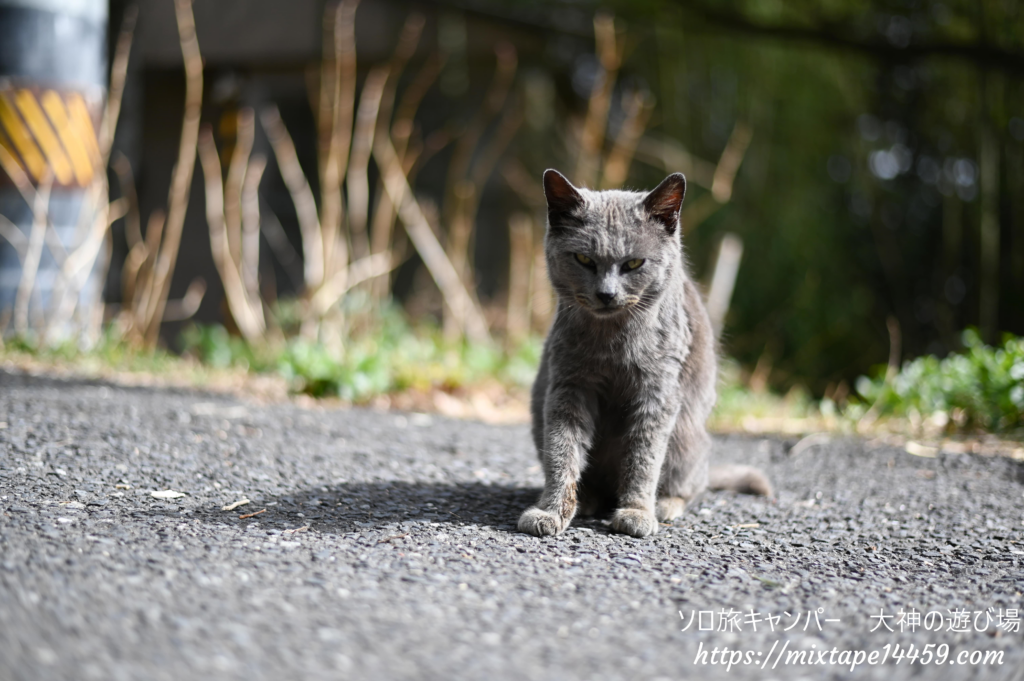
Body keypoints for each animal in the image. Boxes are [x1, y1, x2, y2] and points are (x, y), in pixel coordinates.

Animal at [516, 168, 770, 536]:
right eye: (583, 259)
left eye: (634, 263)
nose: (606, 294)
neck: (612, 343)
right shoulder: (569, 387)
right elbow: (562, 452)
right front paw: (551, 512)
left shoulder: (657, 393)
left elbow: (644, 457)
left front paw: (637, 512)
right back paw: (588, 499)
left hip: (688, 439)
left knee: (690, 485)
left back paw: (664, 505)